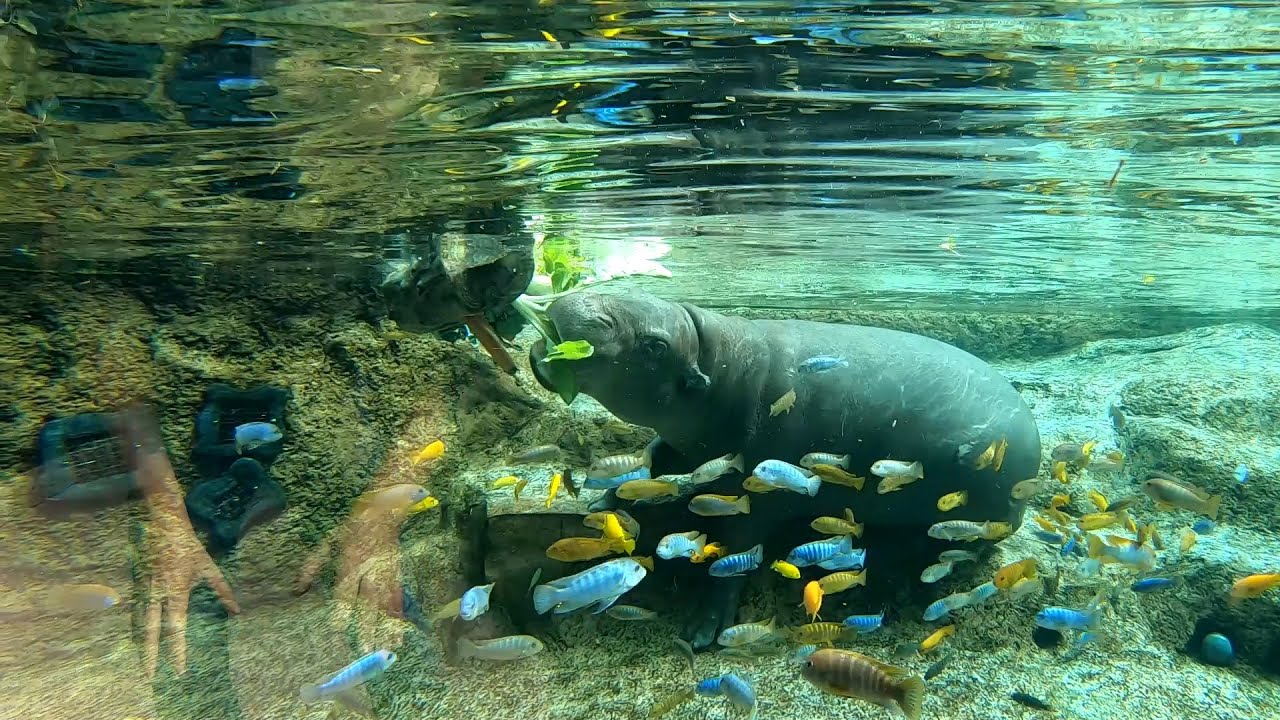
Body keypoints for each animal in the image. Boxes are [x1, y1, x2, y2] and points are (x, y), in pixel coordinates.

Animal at [528, 289, 1040, 648]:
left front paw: (702, 632)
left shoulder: (755, 495)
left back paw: (904, 587)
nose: (573, 302)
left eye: (655, 346)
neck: (718, 363)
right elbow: (652, 460)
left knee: (972, 548)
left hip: (981, 515)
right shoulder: (684, 446)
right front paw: (603, 501)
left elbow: (735, 554)